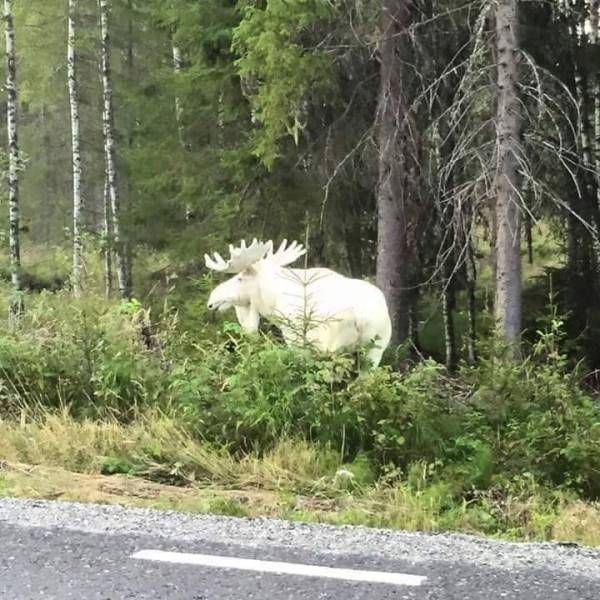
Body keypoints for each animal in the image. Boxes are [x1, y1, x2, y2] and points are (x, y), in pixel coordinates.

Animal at [205, 239, 394, 366]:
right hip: (376, 348)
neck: (271, 302)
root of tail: (362, 317)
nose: (211, 300)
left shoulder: (294, 337)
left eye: (239, 278)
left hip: (326, 343)